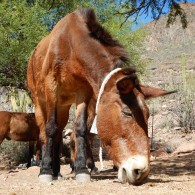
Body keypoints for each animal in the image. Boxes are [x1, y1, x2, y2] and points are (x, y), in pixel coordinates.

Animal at [26, 7, 174, 184]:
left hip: (63, 105)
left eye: (148, 115)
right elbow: (51, 129)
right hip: (40, 102)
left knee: (59, 133)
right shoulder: (52, 88)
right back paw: (48, 169)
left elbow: (80, 129)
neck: (71, 45)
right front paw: (45, 172)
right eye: (127, 112)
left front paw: (81, 169)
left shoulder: (83, 92)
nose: (141, 172)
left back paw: (57, 171)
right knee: (45, 132)